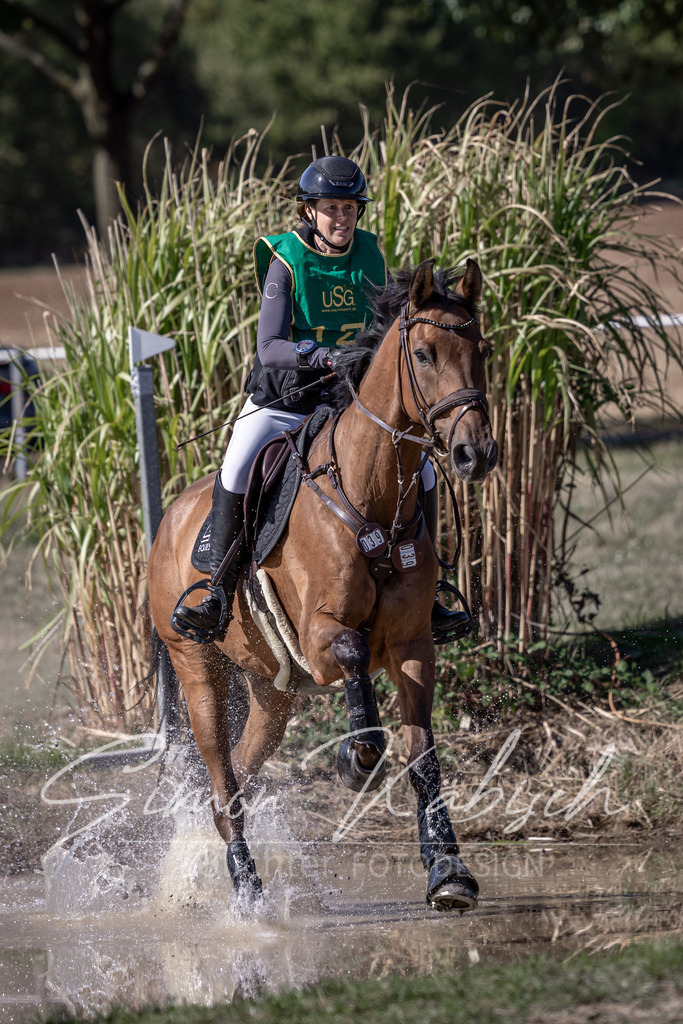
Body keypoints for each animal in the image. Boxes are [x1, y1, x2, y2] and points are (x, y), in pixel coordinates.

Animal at [147, 258, 498, 911]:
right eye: (425, 354)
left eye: (481, 350)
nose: (475, 453)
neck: (372, 494)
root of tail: (167, 524)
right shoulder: (318, 635)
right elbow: (355, 653)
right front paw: (355, 759)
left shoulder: (413, 645)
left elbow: (423, 756)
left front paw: (448, 870)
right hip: (197, 668)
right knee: (221, 780)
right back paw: (247, 888)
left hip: (272, 691)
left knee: (241, 770)